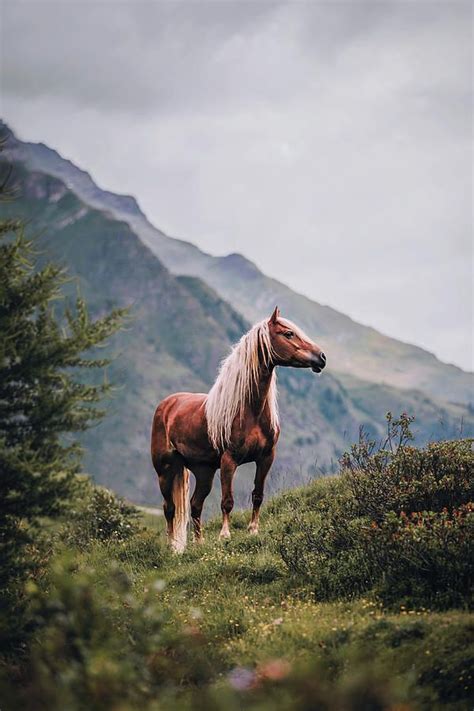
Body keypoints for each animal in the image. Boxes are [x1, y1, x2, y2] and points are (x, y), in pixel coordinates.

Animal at [151, 304, 326, 552]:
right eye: (288, 333)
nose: (321, 358)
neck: (249, 411)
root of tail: (167, 404)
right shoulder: (229, 460)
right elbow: (227, 501)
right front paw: (225, 535)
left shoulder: (266, 457)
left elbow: (258, 495)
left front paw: (253, 530)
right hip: (165, 470)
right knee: (170, 509)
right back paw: (173, 547)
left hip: (203, 471)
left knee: (195, 505)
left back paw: (199, 542)